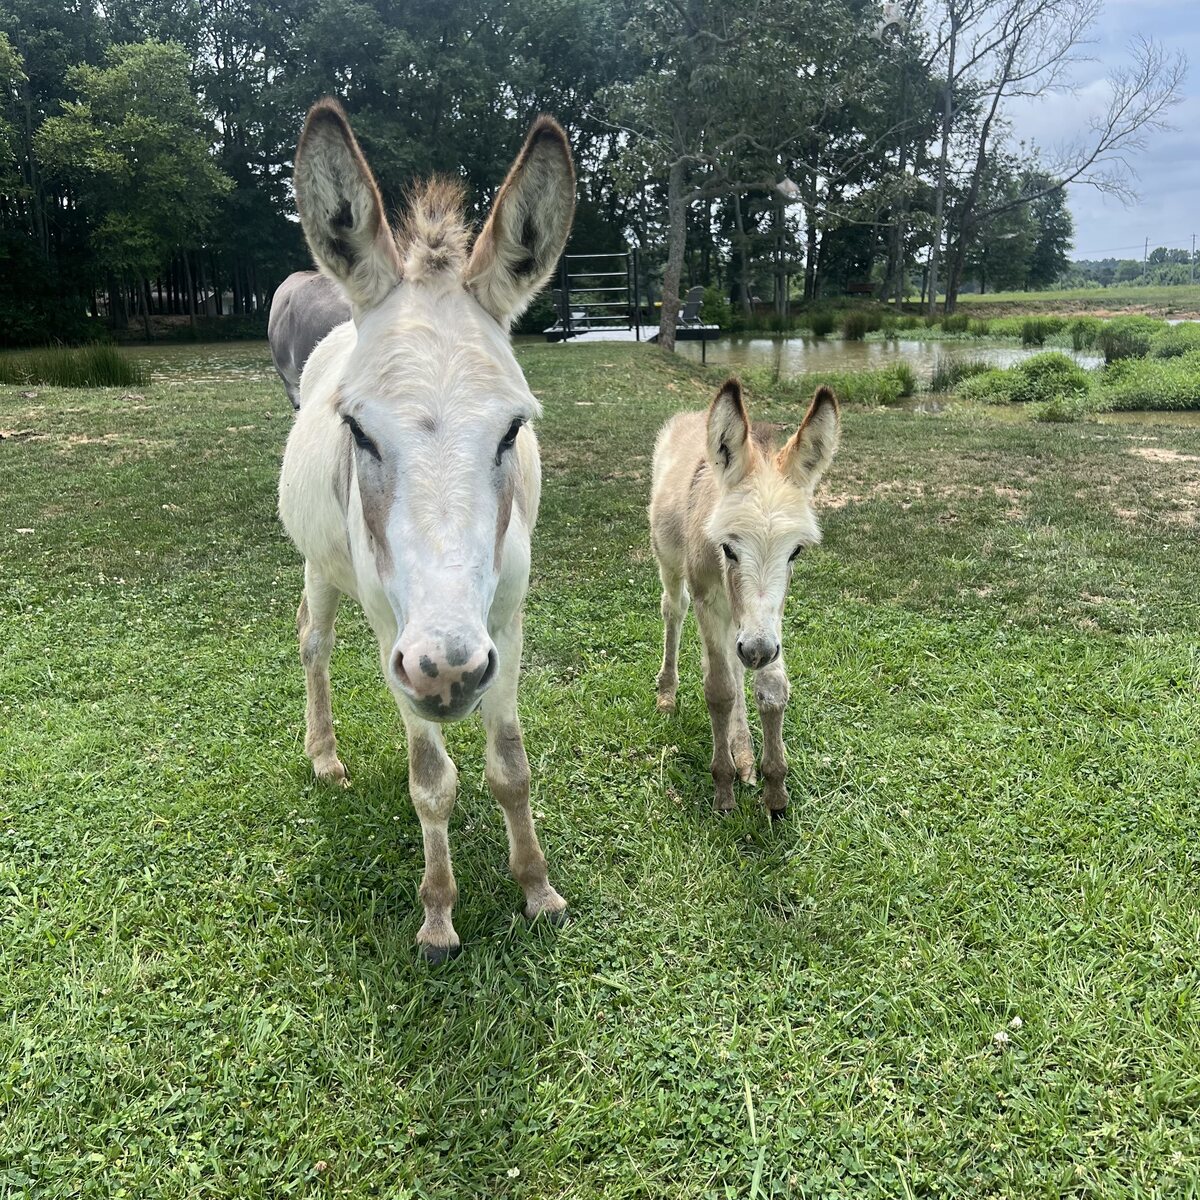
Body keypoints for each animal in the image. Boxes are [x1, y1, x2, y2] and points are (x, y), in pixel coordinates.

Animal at [277, 98, 575, 961]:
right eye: (359, 431)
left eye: (512, 430)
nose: (447, 673)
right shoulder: (394, 639)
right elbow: (431, 781)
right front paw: (439, 915)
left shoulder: (505, 622)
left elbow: (510, 767)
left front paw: (537, 888)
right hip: (322, 567)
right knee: (312, 640)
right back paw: (325, 756)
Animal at [648, 379, 840, 816]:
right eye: (728, 549)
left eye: (796, 552)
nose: (756, 650)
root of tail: (692, 415)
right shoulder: (710, 602)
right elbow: (719, 691)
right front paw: (723, 791)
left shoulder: (768, 620)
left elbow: (771, 689)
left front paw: (774, 792)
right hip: (670, 561)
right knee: (673, 610)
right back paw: (667, 694)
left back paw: (745, 753)